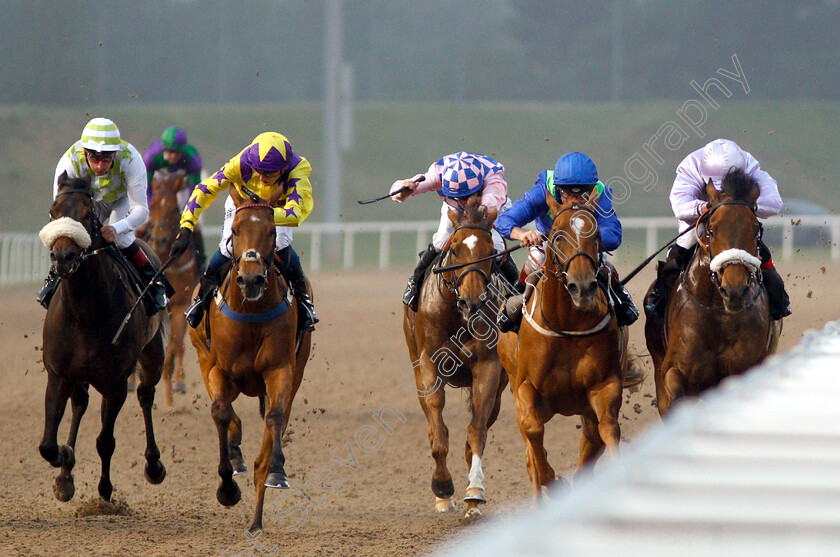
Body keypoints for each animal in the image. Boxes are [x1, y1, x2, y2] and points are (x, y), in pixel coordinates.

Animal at [39, 174, 169, 504]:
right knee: (80, 405)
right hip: (80, 377)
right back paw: (65, 475)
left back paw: (153, 465)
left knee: (145, 395)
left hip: (153, 354)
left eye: (89, 216)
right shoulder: (59, 374)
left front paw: (105, 488)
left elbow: (105, 441)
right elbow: (48, 445)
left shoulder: (116, 383)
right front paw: (64, 461)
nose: (63, 257)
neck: (84, 312)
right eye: (53, 212)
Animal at [189, 185, 314, 532]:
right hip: (204, 359)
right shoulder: (217, 369)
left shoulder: (280, 370)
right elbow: (220, 412)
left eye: (271, 231)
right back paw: (235, 456)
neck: (251, 312)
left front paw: (277, 471)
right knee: (227, 413)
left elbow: (275, 418)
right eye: (234, 230)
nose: (251, 279)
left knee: (274, 423)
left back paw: (257, 515)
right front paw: (227, 486)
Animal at [404, 197, 508, 516]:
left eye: (491, 252)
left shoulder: (489, 368)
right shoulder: (427, 363)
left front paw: (474, 491)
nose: (472, 301)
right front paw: (442, 487)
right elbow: (438, 433)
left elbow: (477, 432)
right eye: (455, 249)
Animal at [496, 191, 628, 500]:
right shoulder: (525, 389)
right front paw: (555, 484)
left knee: (591, 439)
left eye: (597, 236)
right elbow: (534, 437)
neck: (567, 325)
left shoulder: (604, 384)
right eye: (556, 236)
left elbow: (608, 428)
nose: (583, 288)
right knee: (531, 452)